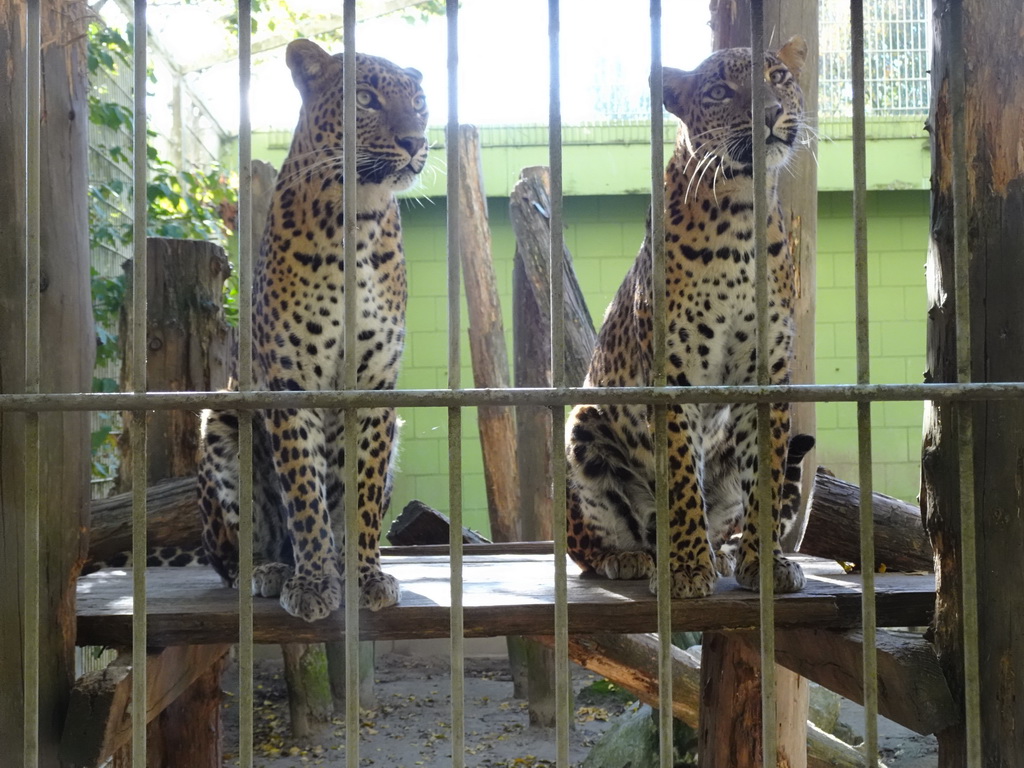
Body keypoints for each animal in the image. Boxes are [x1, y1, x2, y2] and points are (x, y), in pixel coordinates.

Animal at [195, 37, 428, 626]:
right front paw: (315, 582)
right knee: (232, 555)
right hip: (220, 425)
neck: (356, 221)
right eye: (365, 99)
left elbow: (360, 495)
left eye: (419, 102)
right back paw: (270, 569)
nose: (416, 141)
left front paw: (363, 576)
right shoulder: (290, 382)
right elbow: (304, 494)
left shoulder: (373, 388)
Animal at [565, 36, 811, 602]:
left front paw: (765, 564)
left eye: (779, 77)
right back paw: (635, 558)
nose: (770, 112)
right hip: (581, 430)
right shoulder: (673, 376)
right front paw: (683, 568)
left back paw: (720, 554)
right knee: (590, 547)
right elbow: (680, 477)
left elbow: (766, 478)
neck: (741, 217)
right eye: (720, 92)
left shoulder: (766, 374)